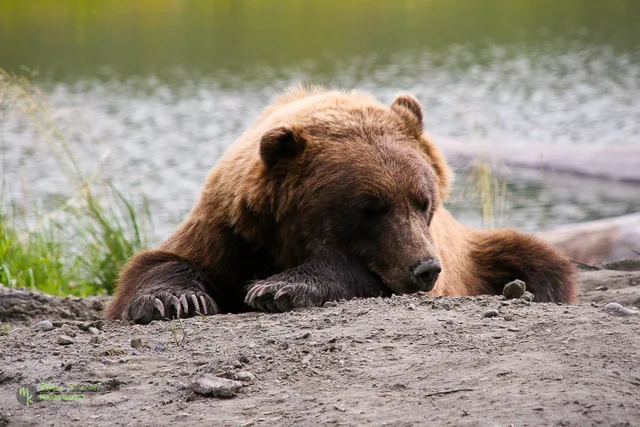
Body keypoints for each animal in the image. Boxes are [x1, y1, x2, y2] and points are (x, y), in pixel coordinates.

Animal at [106, 86, 576, 324]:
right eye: (371, 207)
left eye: (423, 201)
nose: (425, 268)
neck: (282, 243)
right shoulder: (230, 229)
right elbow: (160, 260)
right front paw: (174, 300)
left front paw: (278, 288)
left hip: (477, 253)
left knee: (537, 258)